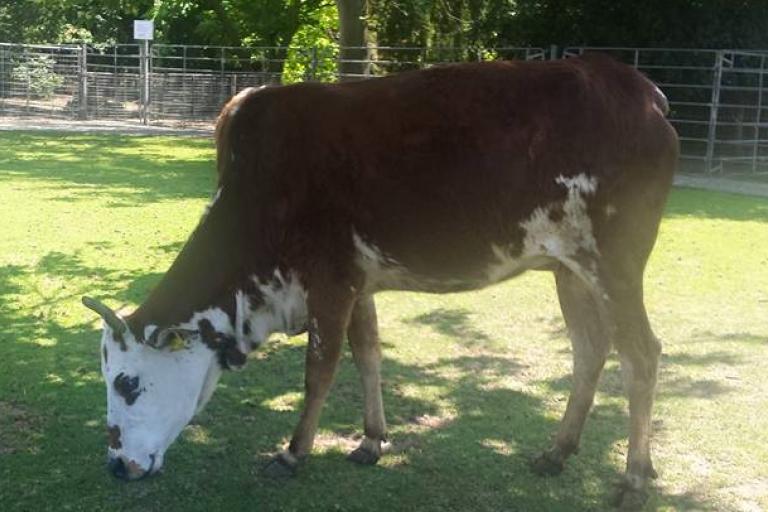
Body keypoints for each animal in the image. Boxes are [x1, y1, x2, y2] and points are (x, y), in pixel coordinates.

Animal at [82, 54, 680, 510]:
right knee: (590, 349)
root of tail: (644, 93)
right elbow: (367, 352)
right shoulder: (359, 283)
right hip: (569, 270)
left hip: (615, 263)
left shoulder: (329, 280)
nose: (115, 466)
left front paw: (293, 452)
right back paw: (559, 450)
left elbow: (320, 370)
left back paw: (633, 475)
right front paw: (373, 440)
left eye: (126, 383)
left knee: (641, 354)